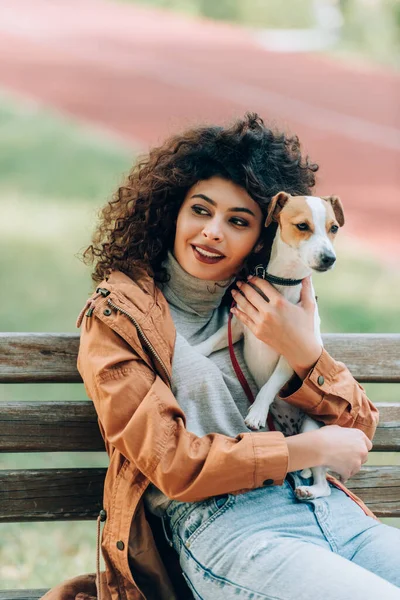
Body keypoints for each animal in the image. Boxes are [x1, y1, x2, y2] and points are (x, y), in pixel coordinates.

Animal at [196, 192, 344, 502]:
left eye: (334, 228)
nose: (329, 258)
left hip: (313, 430)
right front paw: (195, 349)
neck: (285, 283)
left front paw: (256, 412)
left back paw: (309, 491)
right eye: (302, 226)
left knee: (324, 483)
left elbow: (270, 384)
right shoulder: (239, 324)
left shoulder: (291, 352)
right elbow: (212, 341)